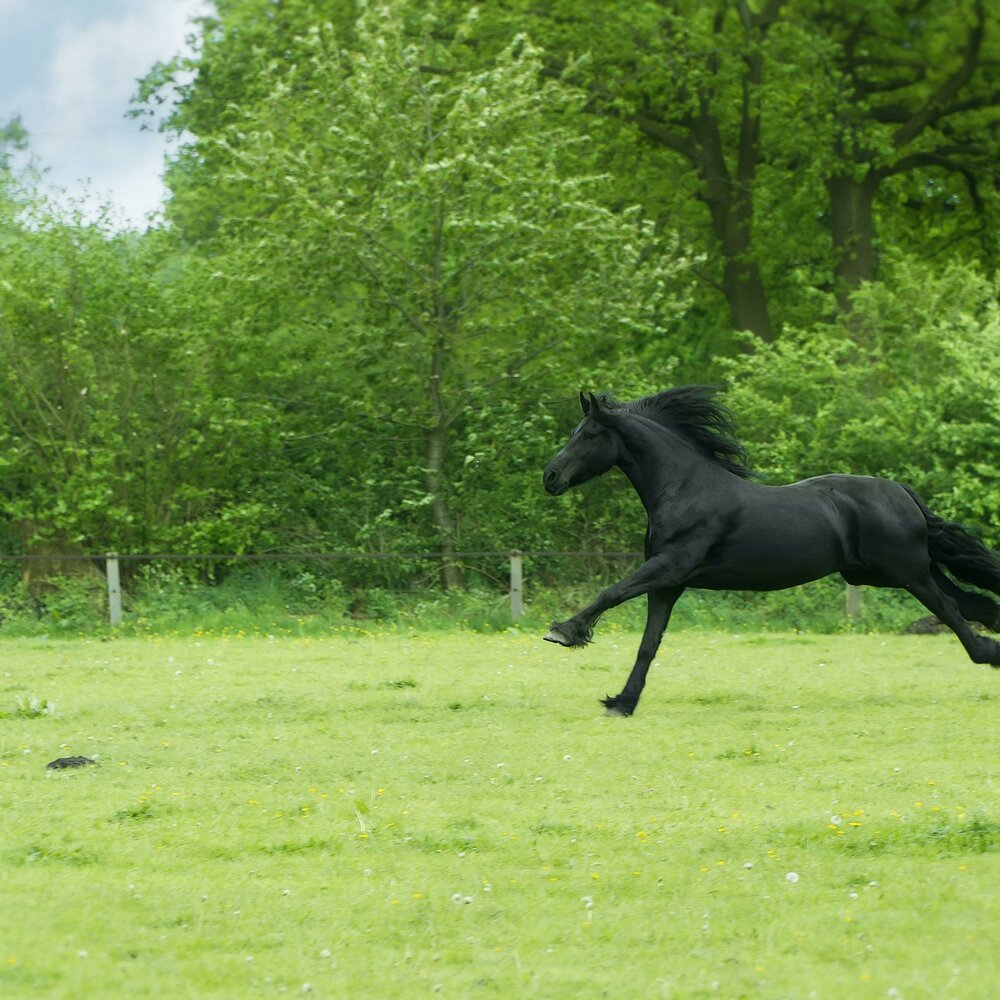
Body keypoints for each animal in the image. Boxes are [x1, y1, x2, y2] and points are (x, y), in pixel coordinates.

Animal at [544, 386, 1000, 716]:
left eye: (588, 434)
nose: (549, 477)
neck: (684, 488)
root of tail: (902, 492)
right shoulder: (668, 585)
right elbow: (648, 643)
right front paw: (623, 702)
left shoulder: (669, 566)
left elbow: (612, 593)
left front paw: (564, 632)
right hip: (884, 573)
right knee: (973, 603)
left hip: (906, 572)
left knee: (952, 610)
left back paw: (988, 653)